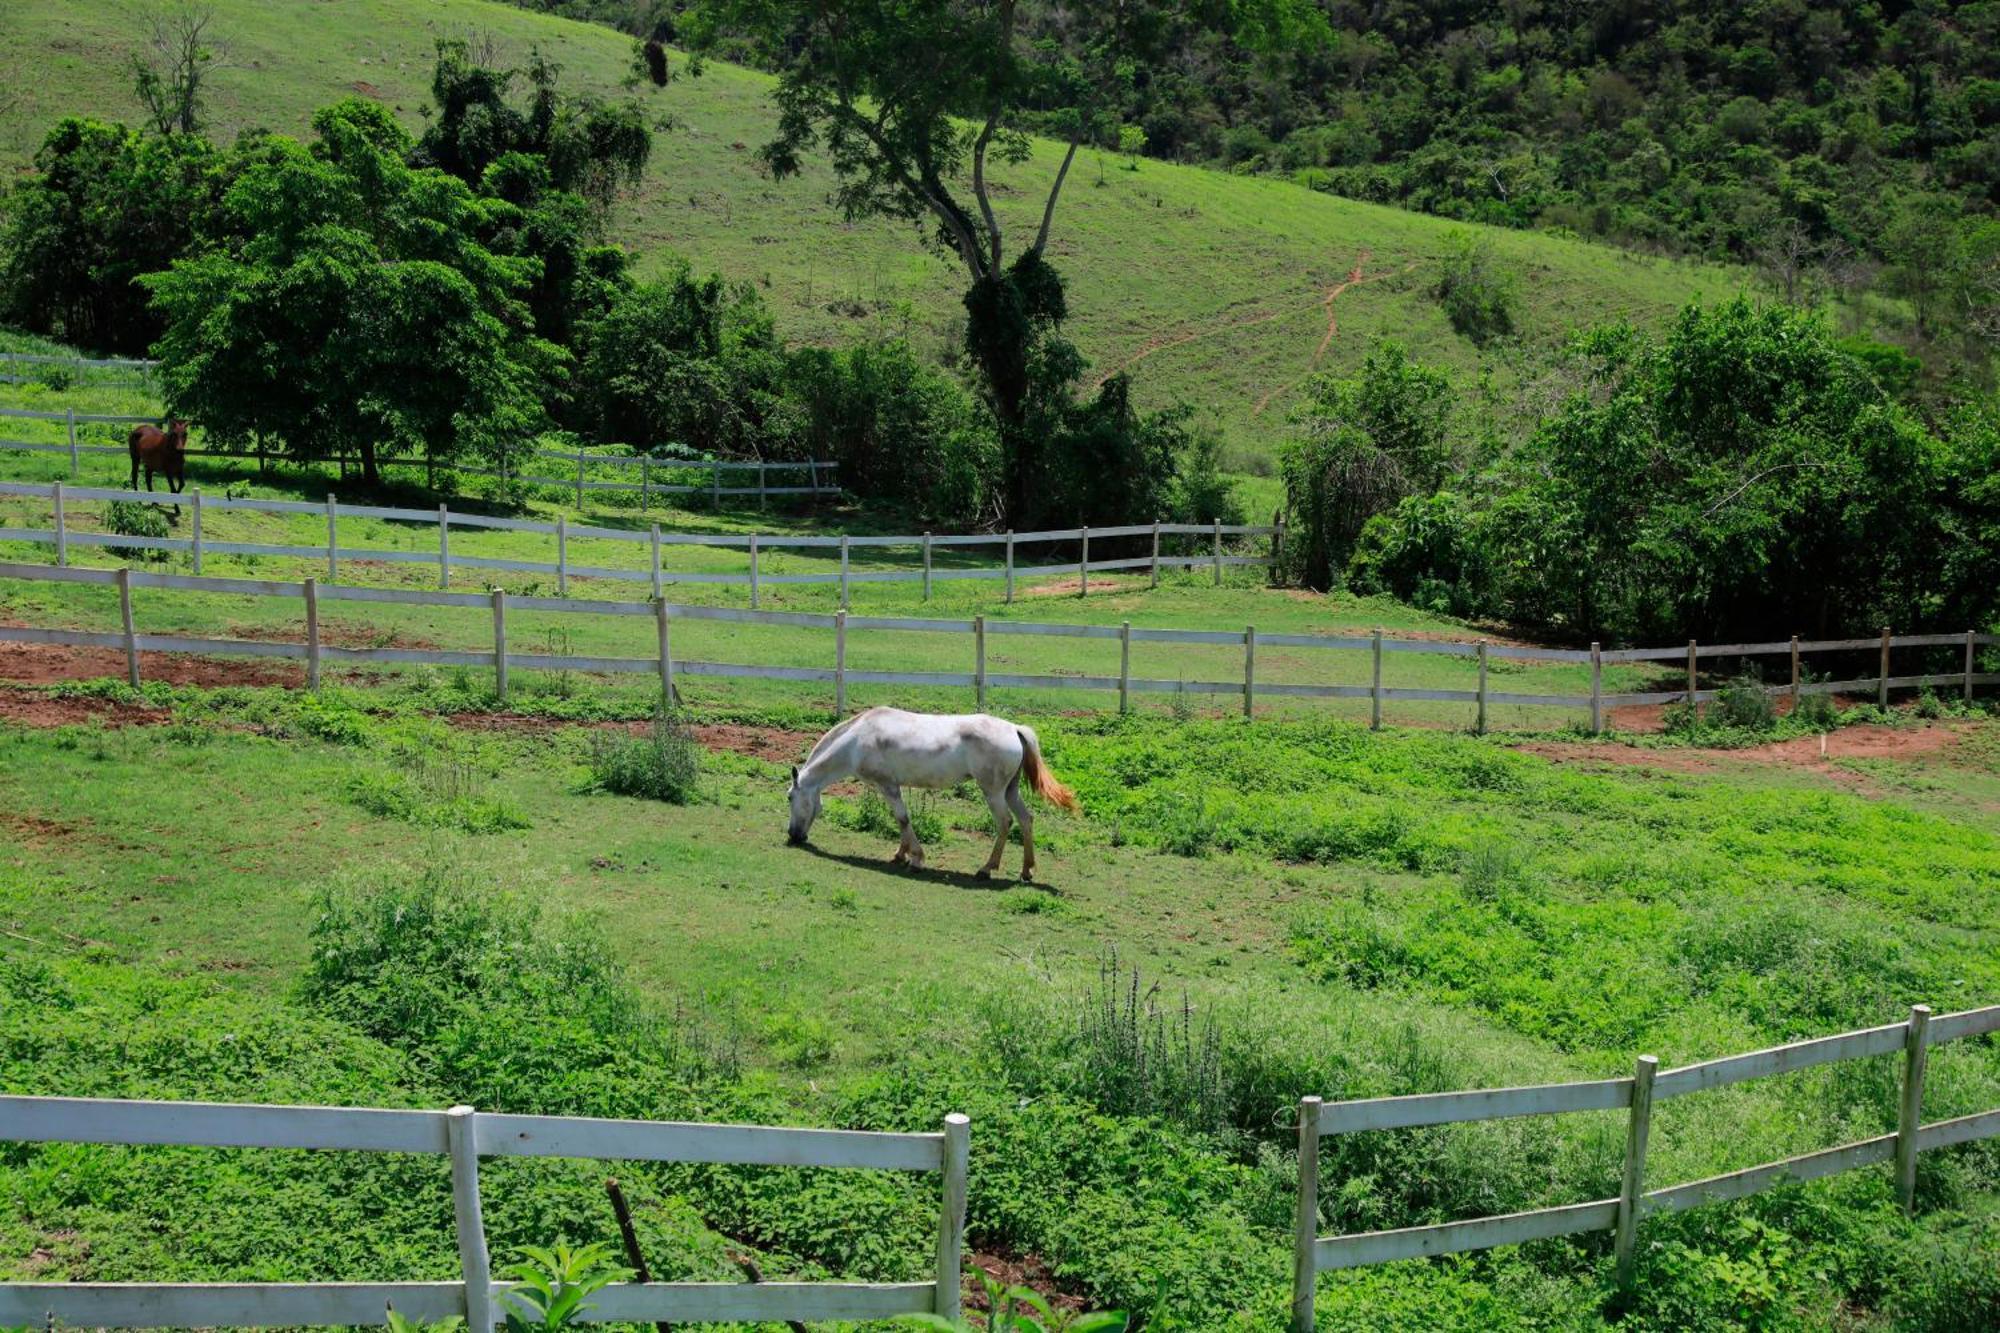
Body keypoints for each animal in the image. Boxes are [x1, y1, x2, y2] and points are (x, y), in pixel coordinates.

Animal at [784, 700, 1080, 876]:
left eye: (789, 797)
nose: (793, 835)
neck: (857, 740)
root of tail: (1014, 729)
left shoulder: (887, 785)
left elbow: (903, 818)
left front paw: (916, 857)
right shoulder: (892, 786)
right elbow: (901, 820)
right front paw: (900, 855)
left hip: (993, 792)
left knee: (1005, 822)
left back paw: (987, 868)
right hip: (1011, 790)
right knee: (1026, 819)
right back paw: (1026, 870)